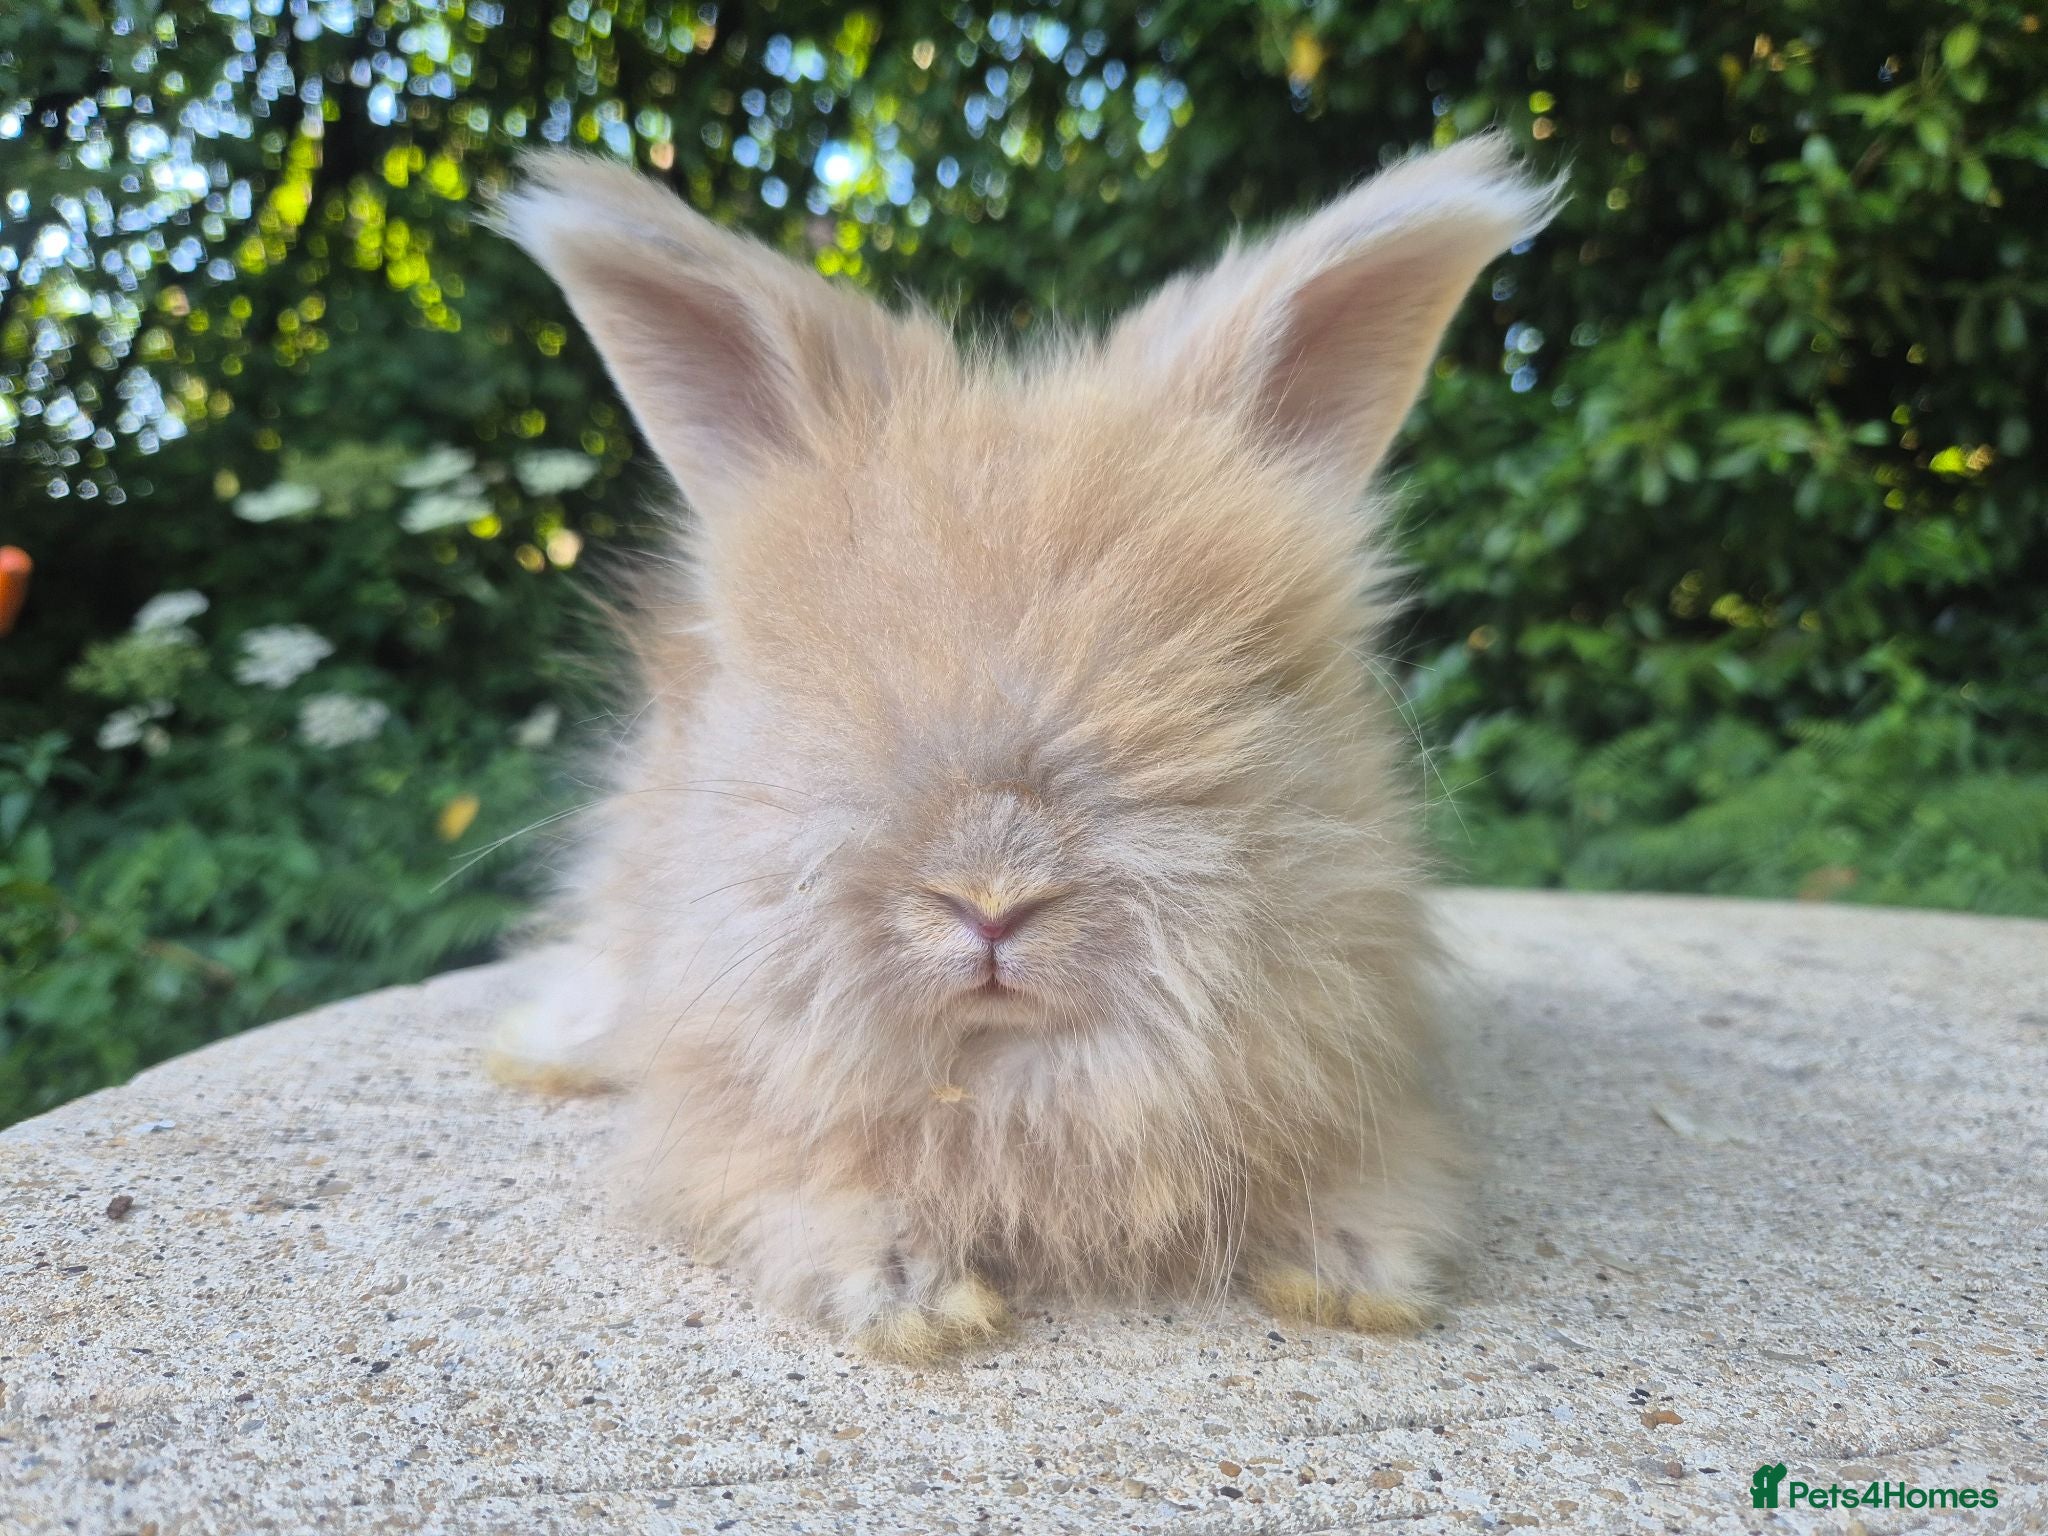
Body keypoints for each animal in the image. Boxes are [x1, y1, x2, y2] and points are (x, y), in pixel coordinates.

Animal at [488, 134, 1558, 1361]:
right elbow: (795, 1183)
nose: (991, 901)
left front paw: (1356, 1274)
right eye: (819, 671)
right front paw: (914, 1301)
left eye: (1229, 674)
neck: (1012, 1079)